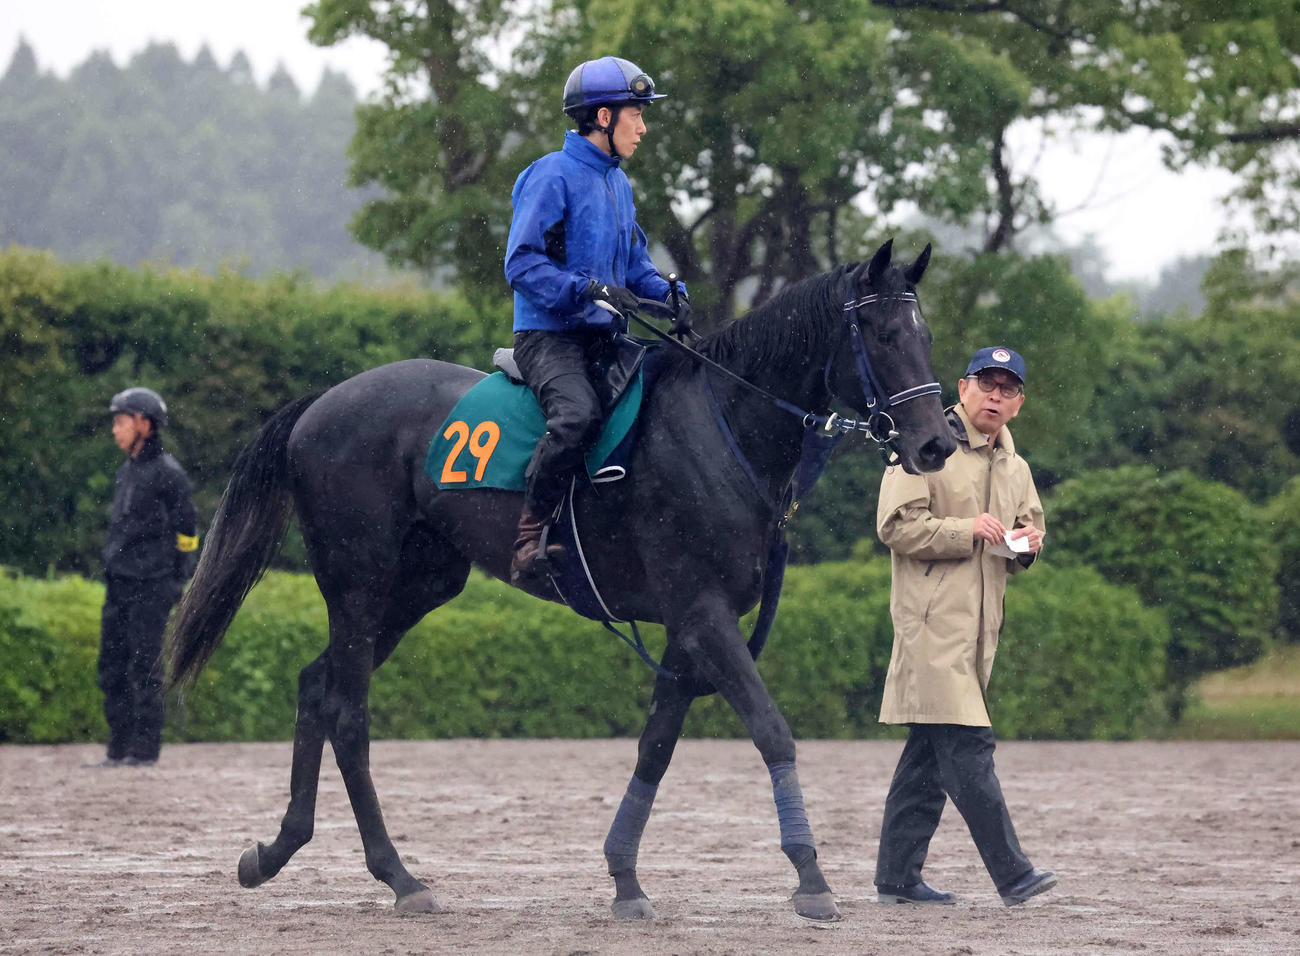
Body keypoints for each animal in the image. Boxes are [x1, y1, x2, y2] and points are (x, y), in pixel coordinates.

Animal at [165, 238, 956, 922]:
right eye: (884, 334)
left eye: (923, 333)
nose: (935, 443)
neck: (722, 427)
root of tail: (322, 402)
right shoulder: (703, 613)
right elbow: (772, 731)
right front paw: (811, 876)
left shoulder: (690, 625)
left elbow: (656, 746)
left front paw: (625, 879)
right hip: (360, 587)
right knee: (348, 713)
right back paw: (398, 875)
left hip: (418, 588)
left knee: (314, 688)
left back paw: (277, 851)